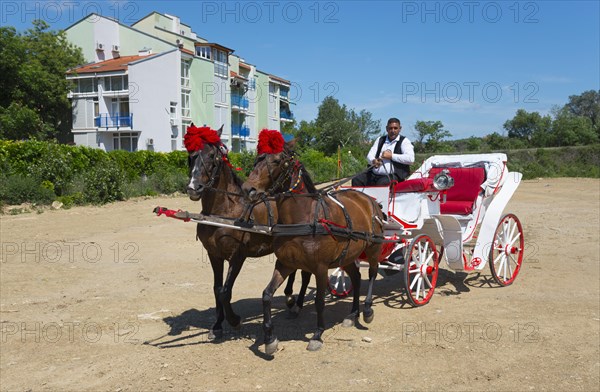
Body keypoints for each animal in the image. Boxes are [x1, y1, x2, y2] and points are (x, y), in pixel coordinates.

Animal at [185, 126, 312, 340]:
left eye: (212, 156)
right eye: (191, 156)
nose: (194, 188)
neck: (224, 212)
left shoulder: (237, 256)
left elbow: (225, 291)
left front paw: (234, 320)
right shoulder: (214, 255)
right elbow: (217, 289)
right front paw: (217, 325)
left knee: (305, 273)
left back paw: (297, 305)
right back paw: (289, 298)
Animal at [240, 131, 384, 352]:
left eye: (277, 161)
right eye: (257, 159)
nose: (248, 189)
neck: (303, 217)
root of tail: (369, 200)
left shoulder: (320, 267)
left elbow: (319, 301)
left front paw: (318, 334)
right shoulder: (285, 263)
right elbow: (267, 295)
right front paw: (270, 338)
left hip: (373, 247)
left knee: (373, 273)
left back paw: (366, 311)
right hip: (348, 255)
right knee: (357, 277)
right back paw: (352, 314)